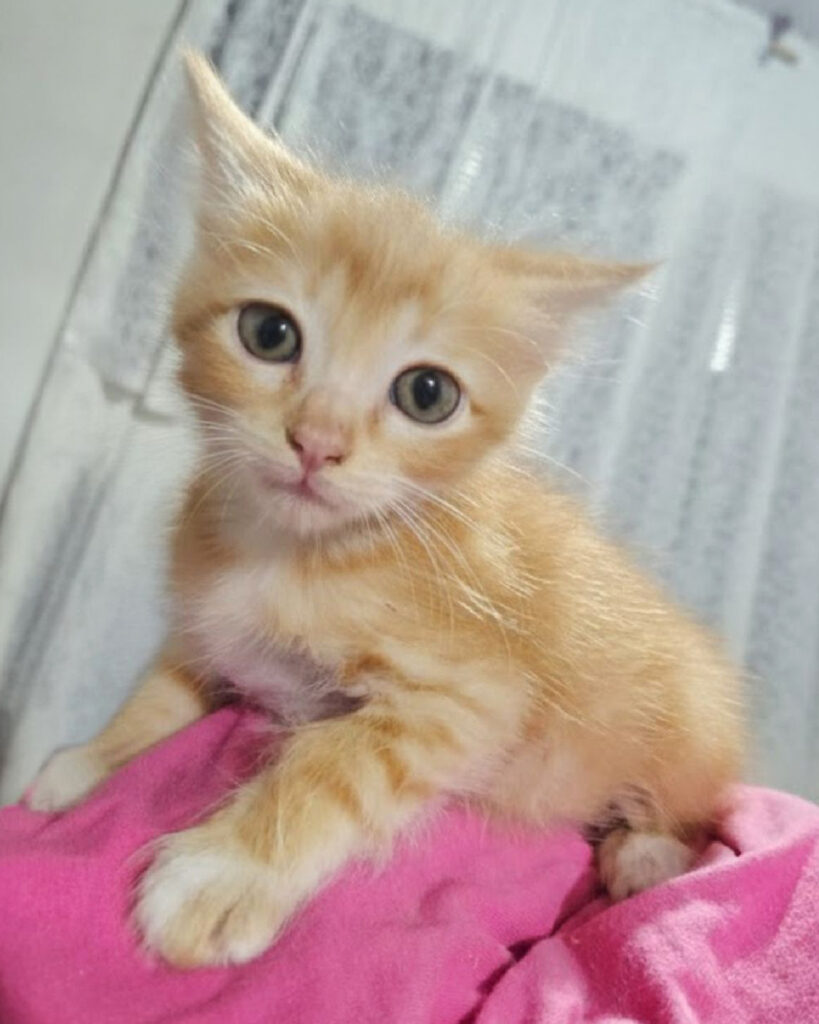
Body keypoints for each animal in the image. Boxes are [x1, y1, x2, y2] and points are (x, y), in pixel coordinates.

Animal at [27, 51, 744, 968]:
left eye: (425, 393)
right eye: (268, 333)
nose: (316, 443)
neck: (282, 552)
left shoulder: (470, 695)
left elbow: (344, 760)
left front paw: (224, 873)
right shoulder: (206, 624)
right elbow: (163, 690)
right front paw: (88, 761)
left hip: (688, 724)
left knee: (693, 805)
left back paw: (645, 852)